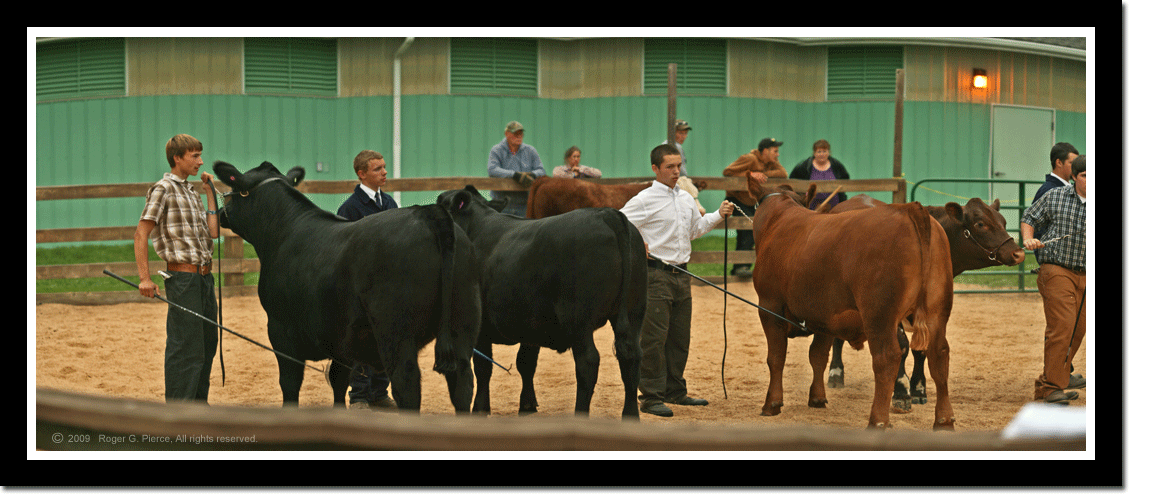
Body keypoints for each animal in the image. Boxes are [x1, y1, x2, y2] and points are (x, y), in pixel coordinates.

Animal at [746, 185, 953, 428]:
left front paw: (772, 403)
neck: (780, 220)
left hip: (879, 314)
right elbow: (818, 356)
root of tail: (908, 209)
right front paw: (817, 398)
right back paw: (944, 420)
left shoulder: (770, 307)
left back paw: (878, 420)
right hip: (937, 311)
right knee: (939, 354)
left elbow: (776, 358)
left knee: (887, 358)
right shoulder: (824, 315)